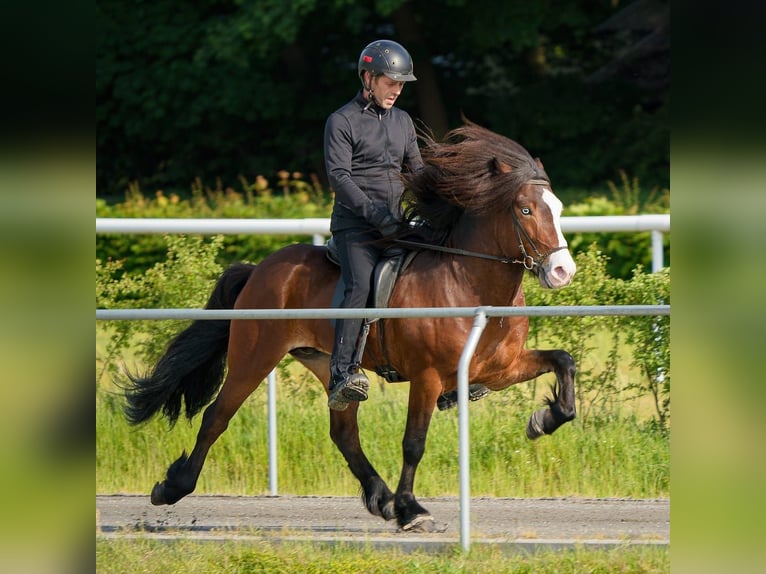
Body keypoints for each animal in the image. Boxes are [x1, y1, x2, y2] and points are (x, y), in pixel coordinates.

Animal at [123, 121, 580, 536]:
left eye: (558, 209)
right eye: (525, 210)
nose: (562, 271)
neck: (466, 280)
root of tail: (260, 270)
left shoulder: (499, 369)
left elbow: (564, 363)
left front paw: (544, 419)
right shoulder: (428, 377)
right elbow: (414, 443)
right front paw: (413, 510)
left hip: (330, 366)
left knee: (343, 432)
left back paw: (381, 498)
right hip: (254, 357)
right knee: (217, 416)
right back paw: (171, 487)